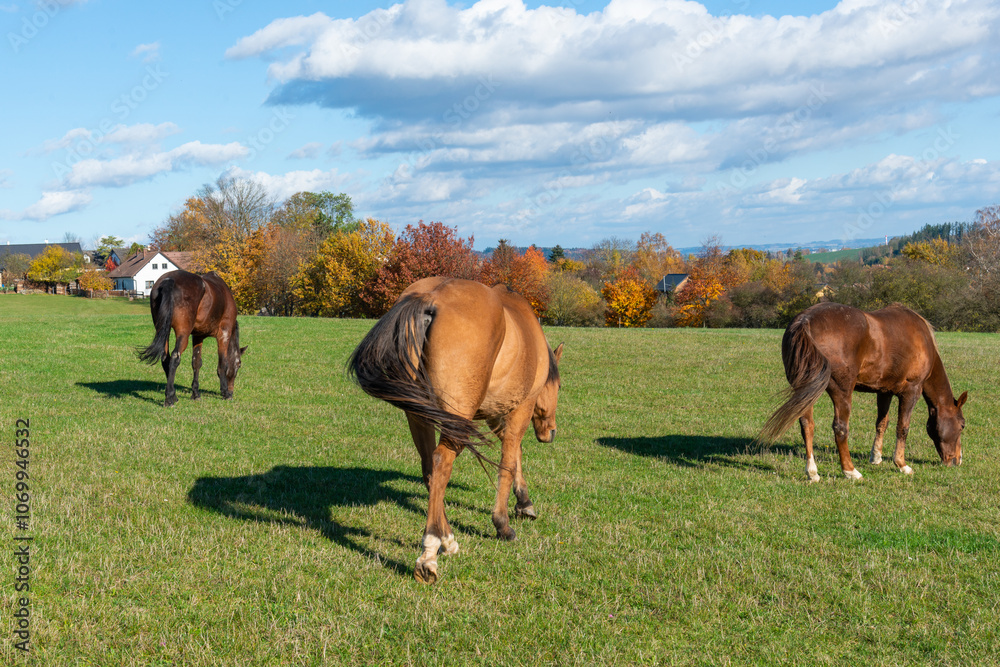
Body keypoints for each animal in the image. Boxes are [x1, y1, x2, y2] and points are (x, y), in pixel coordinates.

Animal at [137, 270, 247, 408]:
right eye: (239, 364)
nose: (231, 391)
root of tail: (169, 280)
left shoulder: (198, 336)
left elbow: (196, 363)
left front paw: (195, 394)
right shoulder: (224, 334)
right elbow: (223, 364)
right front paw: (225, 393)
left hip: (163, 330)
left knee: (165, 358)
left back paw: (174, 396)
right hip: (183, 334)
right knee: (175, 358)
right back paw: (169, 398)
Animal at [348, 277, 563, 584]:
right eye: (559, 387)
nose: (551, 432)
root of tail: (430, 299)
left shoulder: (494, 415)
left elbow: (514, 454)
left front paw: (523, 501)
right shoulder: (520, 409)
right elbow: (508, 461)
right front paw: (503, 522)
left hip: (420, 415)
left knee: (430, 469)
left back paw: (446, 539)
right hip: (454, 417)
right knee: (441, 462)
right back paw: (429, 551)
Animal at [760, 302, 967, 482]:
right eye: (962, 425)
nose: (957, 460)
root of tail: (805, 321)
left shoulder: (884, 391)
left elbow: (882, 423)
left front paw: (876, 457)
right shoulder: (911, 391)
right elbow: (903, 427)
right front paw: (901, 464)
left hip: (805, 390)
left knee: (807, 425)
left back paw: (812, 472)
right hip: (841, 391)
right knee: (840, 427)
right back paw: (850, 471)